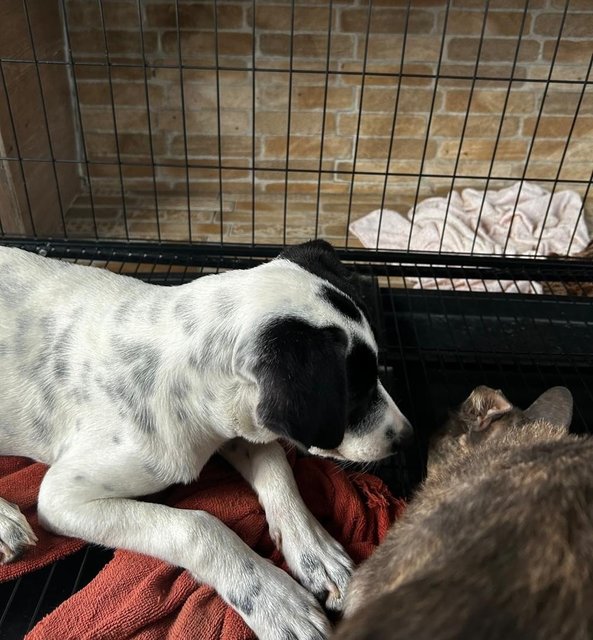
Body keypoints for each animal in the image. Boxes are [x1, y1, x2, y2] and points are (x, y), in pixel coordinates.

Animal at [0, 240, 412, 640]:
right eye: (353, 393)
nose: (407, 437)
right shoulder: (62, 496)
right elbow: (198, 526)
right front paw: (277, 602)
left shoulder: (235, 427)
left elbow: (280, 470)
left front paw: (316, 551)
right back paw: (6, 524)